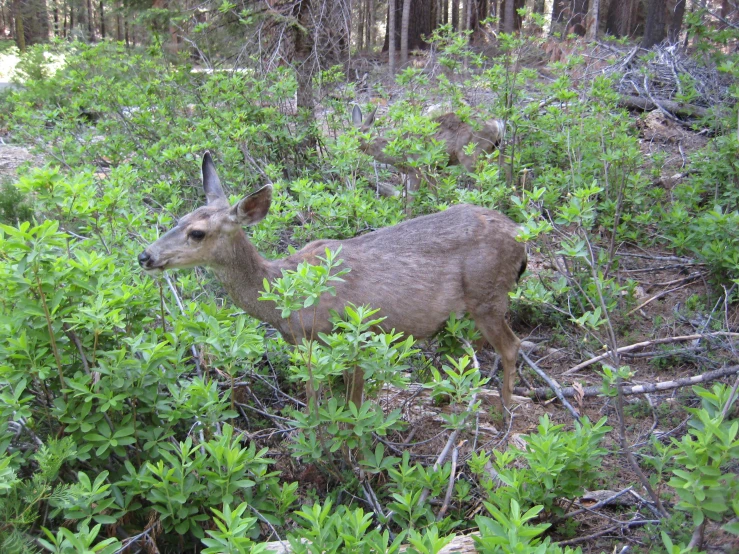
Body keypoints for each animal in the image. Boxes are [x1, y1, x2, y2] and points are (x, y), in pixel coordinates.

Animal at [139, 151, 528, 406]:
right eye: (179, 218)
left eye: (198, 233)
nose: (145, 256)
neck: (284, 292)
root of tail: (521, 237)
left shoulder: (342, 334)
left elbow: (335, 401)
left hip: (487, 295)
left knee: (512, 345)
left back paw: (504, 413)